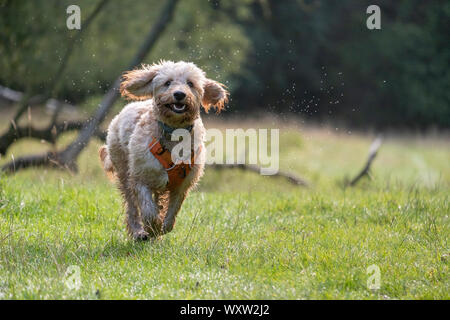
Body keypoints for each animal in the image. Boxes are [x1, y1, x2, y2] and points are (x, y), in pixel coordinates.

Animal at [100, 60, 230, 240]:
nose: (179, 94)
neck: (174, 133)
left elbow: (172, 212)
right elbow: (148, 210)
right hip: (123, 170)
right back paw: (138, 231)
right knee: (132, 206)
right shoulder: (140, 177)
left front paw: (162, 227)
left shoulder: (182, 185)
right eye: (167, 82)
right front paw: (152, 227)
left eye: (190, 83)